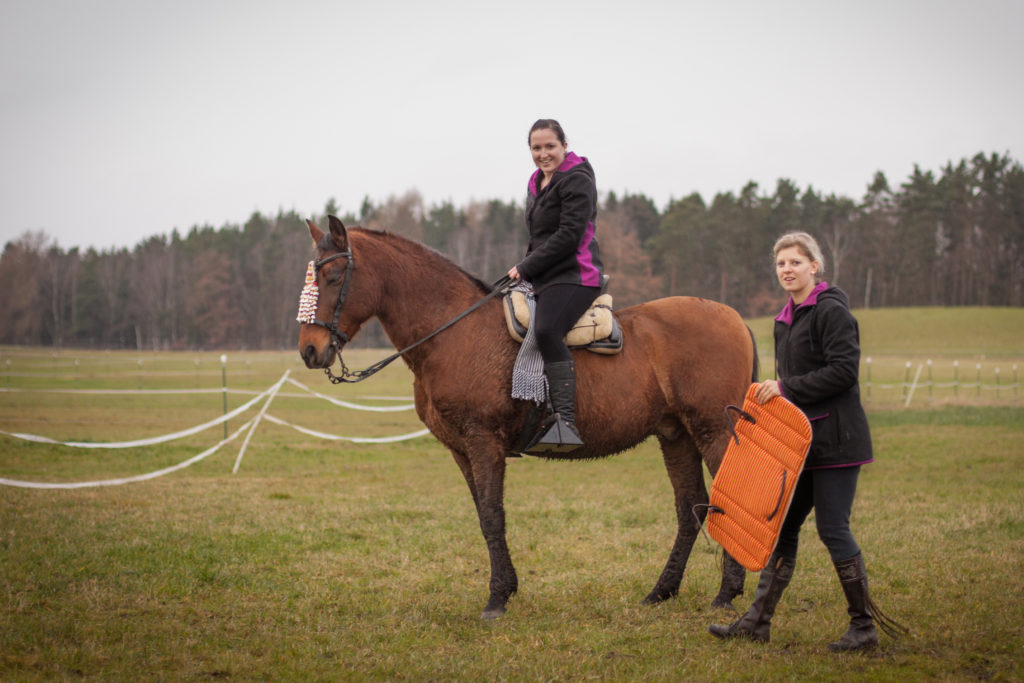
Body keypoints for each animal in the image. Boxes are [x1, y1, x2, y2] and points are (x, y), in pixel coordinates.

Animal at [299, 218, 757, 618]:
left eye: (334, 276)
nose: (309, 350)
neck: (454, 332)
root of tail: (734, 317)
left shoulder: (483, 441)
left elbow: (493, 516)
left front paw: (497, 599)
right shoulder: (461, 450)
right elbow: (484, 516)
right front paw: (508, 588)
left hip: (713, 432)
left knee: (728, 503)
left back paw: (725, 594)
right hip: (677, 435)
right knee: (690, 507)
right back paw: (661, 592)